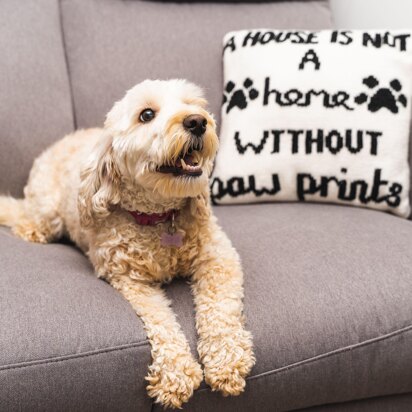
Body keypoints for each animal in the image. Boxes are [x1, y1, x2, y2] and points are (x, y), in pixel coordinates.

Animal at [0, 79, 254, 408]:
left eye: (192, 104)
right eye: (146, 115)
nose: (198, 122)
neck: (160, 218)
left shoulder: (219, 257)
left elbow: (221, 309)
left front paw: (226, 361)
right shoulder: (130, 279)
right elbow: (161, 321)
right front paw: (177, 374)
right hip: (47, 210)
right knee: (27, 217)